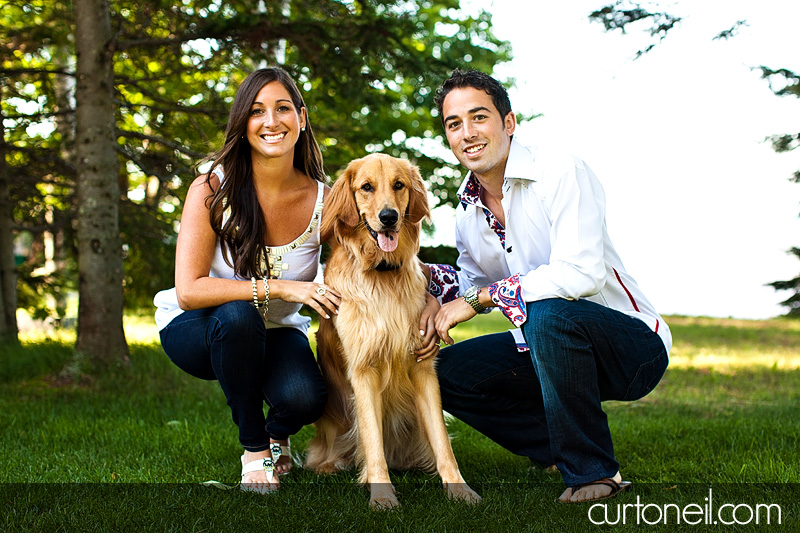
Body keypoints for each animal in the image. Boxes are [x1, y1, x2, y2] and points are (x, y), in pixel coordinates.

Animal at [304, 153, 482, 508]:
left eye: (399, 185)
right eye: (366, 187)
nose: (389, 217)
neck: (382, 274)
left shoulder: (423, 367)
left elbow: (442, 440)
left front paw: (459, 489)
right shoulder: (363, 371)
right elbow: (373, 442)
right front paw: (382, 495)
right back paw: (329, 465)